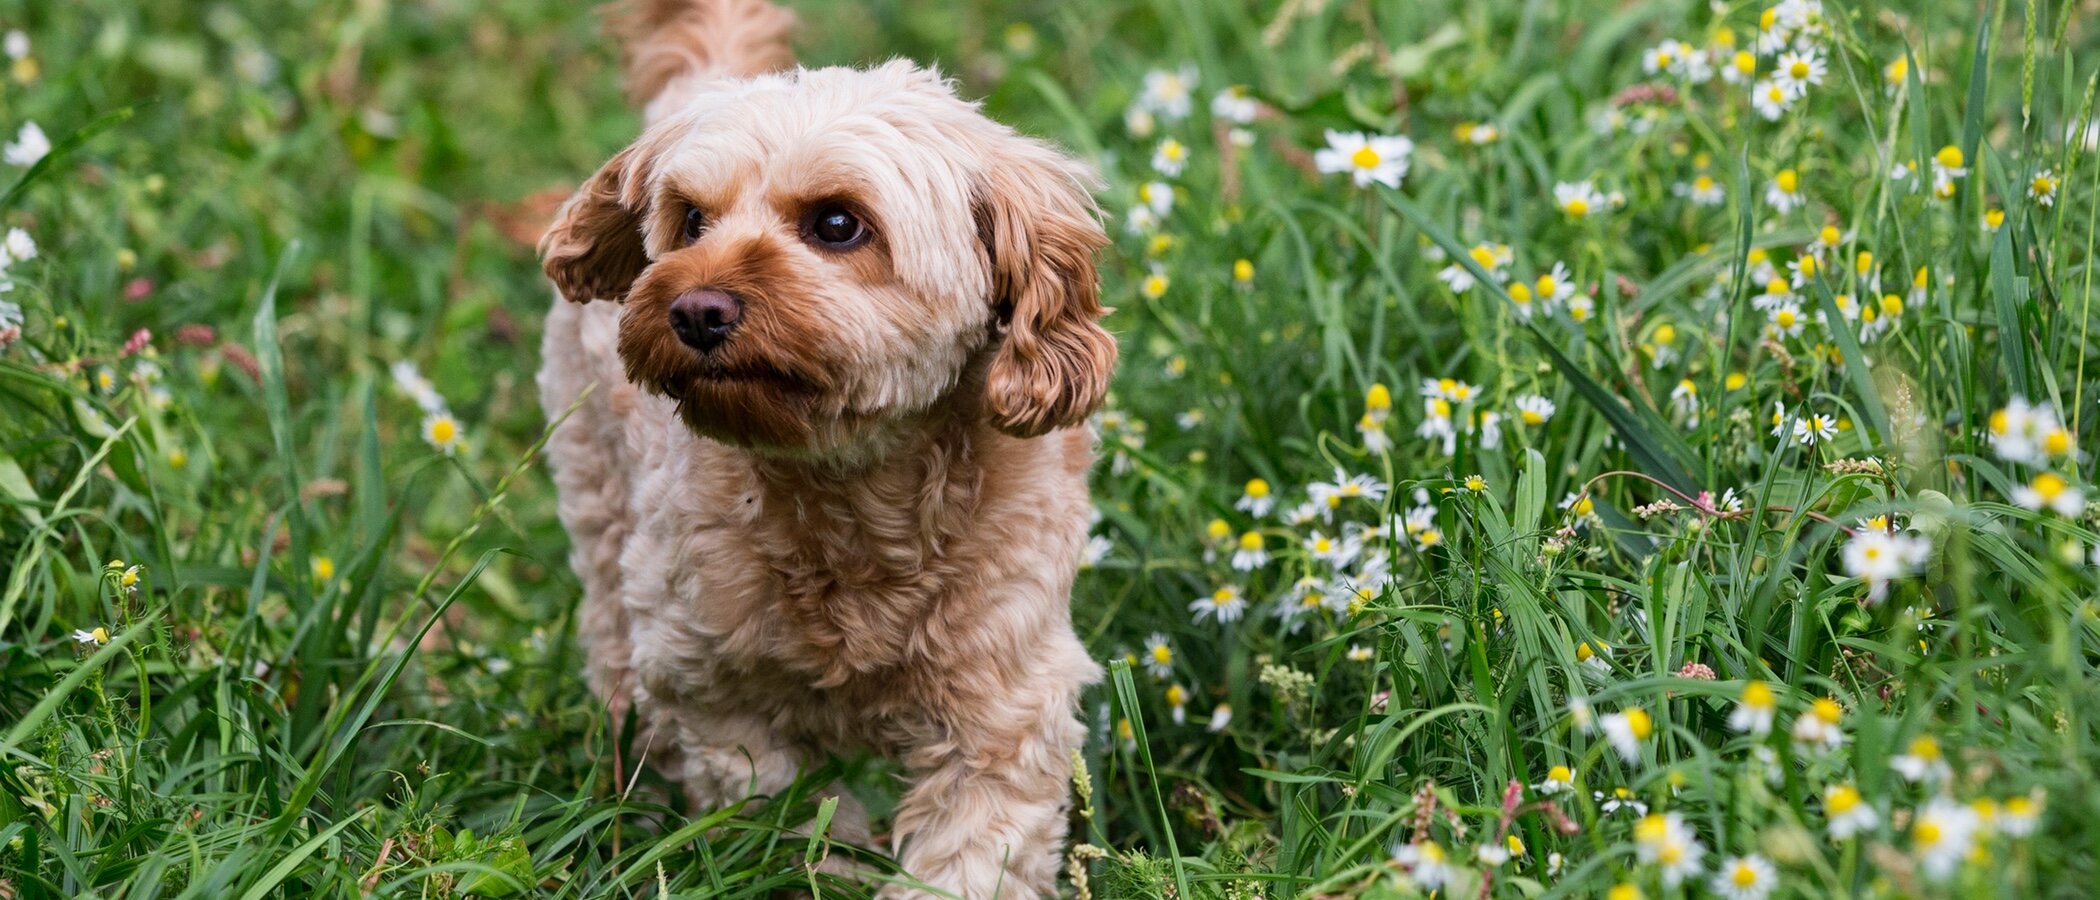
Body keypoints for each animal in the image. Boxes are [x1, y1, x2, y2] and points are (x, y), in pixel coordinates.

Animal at [529, 1, 1117, 889]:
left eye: (838, 223)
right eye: (691, 220)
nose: (695, 309)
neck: (851, 495)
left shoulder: (1004, 700)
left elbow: (973, 847)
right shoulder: (710, 683)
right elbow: (780, 802)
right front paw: (825, 865)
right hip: (599, 497)